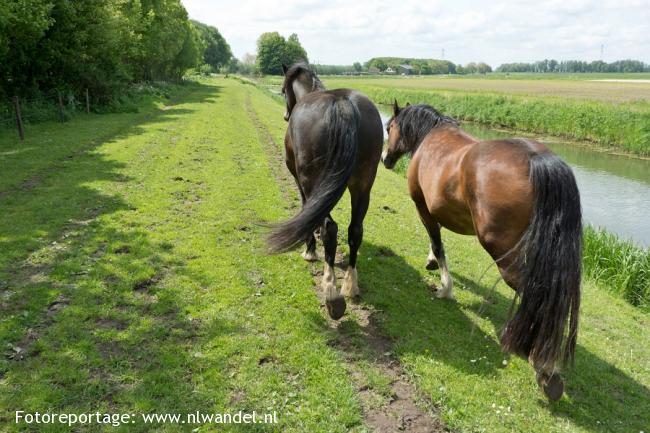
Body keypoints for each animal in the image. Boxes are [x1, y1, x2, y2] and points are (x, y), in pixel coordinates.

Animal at [266, 63, 382, 320]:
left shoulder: (301, 183)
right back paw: (350, 285)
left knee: (331, 227)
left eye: (282, 90)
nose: (285, 115)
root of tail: (343, 104)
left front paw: (310, 249)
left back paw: (331, 293)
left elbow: (307, 211)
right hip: (363, 186)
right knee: (355, 230)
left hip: (312, 181)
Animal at [382, 100, 580, 398]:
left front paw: (445, 288)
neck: (431, 134)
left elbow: (438, 243)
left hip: (501, 249)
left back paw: (541, 362)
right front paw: (432, 263)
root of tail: (537, 159)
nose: (385, 159)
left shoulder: (423, 207)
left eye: (389, 127)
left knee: (532, 290)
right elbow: (436, 243)